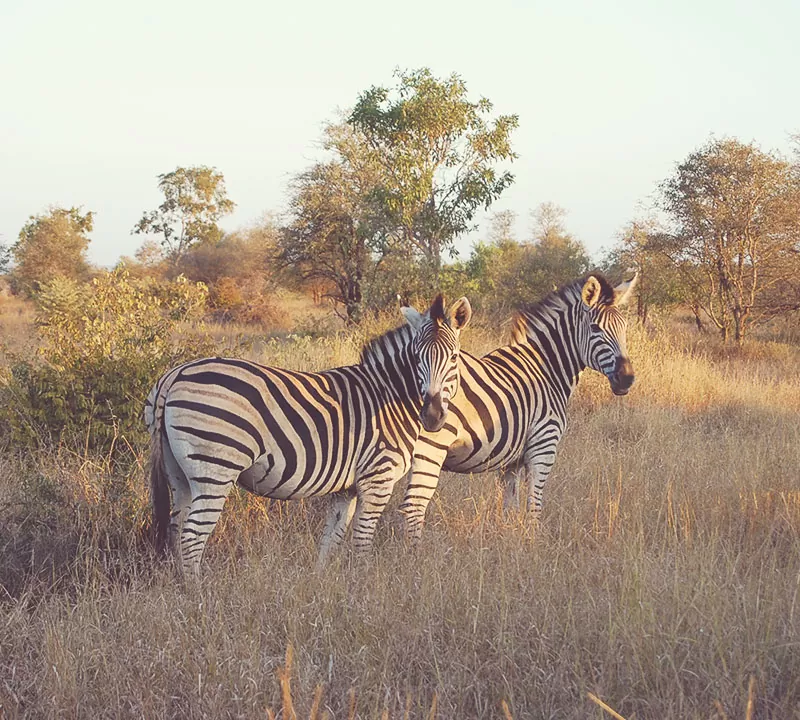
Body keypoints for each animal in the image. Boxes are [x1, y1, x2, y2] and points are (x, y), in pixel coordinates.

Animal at [145, 292, 472, 572]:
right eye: (416, 357)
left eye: (454, 357)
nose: (431, 417)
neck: (389, 393)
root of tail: (175, 374)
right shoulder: (378, 478)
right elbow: (362, 540)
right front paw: (363, 585)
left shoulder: (347, 488)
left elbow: (332, 538)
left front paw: (324, 582)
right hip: (215, 468)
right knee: (191, 537)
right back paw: (199, 595)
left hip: (179, 473)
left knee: (175, 529)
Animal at [400, 272, 636, 544]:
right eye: (596, 328)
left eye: (625, 328)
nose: (627, 378)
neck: (547, 369)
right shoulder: (543, 446)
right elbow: (534, 505)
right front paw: (533, 545)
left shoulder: (510, 461)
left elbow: (510, 508)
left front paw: (509, 542)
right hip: (431, 446)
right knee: (413, 506)